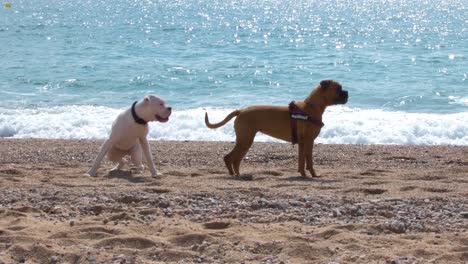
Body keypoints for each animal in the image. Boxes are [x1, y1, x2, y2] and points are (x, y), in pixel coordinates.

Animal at [205, 80, 348, 178]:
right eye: (339, 88)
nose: (347, 92)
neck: (311, 106)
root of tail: (241, 111)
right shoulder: (309, 142)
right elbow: (310, 161)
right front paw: (313, 174)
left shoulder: (302, 144)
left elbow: (302, 162)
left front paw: (303, 174)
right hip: (245, 140)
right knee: (229, 157)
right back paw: (233, 174)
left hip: (245, 141)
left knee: (236, 160)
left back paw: (238, 174)